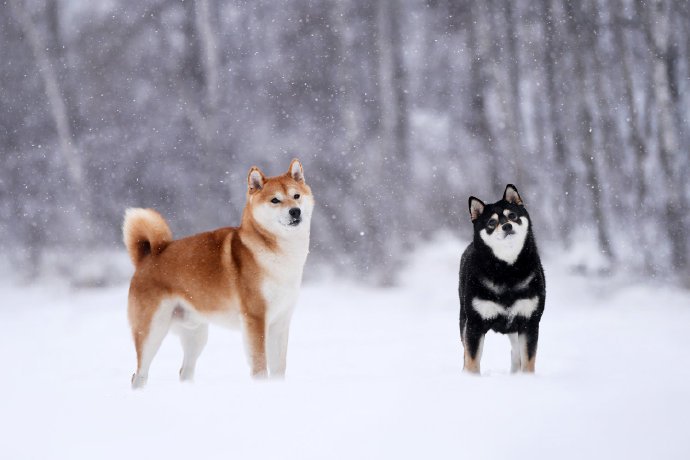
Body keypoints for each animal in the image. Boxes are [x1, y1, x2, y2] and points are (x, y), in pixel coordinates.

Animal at [123, 158, 312, 388]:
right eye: (275, 200)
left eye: (296, 196)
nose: (295, 211)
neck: (278, 253)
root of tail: (147, 258)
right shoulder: (255, 318)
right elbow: (260, 366)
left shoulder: (281, 321)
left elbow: (279, 367)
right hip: (152, 331)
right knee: (139, 375)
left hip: (196, 334)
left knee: (185, 371)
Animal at [456, 183, 544, 374]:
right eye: (491, 222)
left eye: (512, 215)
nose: (507, 227)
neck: (506, 270)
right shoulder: (475, 323)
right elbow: (472, 360)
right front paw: (470, 378)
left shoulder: (529, 321)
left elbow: (528, 361)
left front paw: (527, 379)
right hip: (463, 318)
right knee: (465, 352)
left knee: (516, 353)